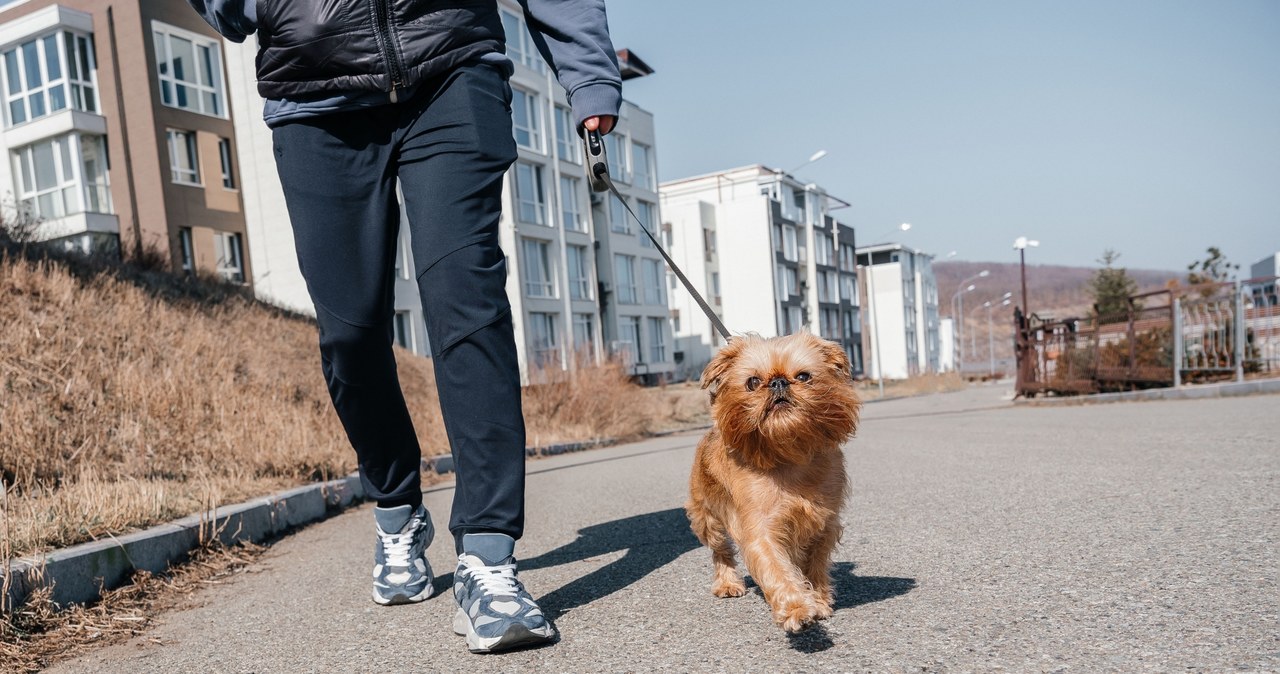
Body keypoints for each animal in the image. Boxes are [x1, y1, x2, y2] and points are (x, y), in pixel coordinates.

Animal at [691, 335, 860, 636]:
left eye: (803, 376)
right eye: (753, 382)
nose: (778, 382)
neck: (788, 454)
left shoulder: (823, 526)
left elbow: (814, 566)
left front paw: (818, 600)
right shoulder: (762, 532)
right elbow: (777, 570)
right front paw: (797, 608)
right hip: (707, 519)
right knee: (721, 551)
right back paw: (727, 583)